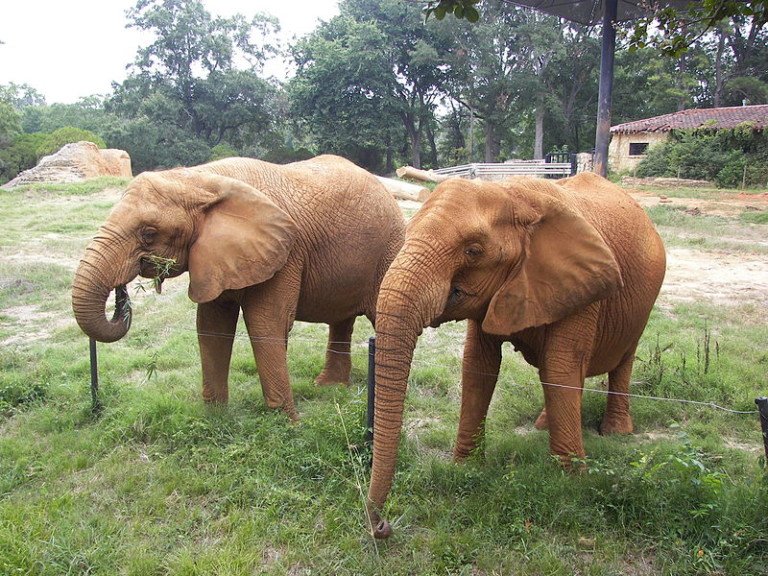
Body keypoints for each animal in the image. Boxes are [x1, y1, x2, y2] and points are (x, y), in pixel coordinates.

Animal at [71, 153, 404, 416]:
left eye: (149, 234)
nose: (122, 288)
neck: (200, 178)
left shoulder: (287, 253)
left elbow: (265, 323)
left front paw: (286, 423)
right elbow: (211, 325)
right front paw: (215, 417)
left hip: (390, 248)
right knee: (342, 320)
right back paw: (330, 388)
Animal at [366, 172, 664, 540]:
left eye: (473, 251)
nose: (382, 526)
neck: (514, 195)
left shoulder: (581, 284)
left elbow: (559, 369)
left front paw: (570, 483)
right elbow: (478, 366)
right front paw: (465, 469)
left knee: (622, 360)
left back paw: (617, 431)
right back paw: (544, 424)